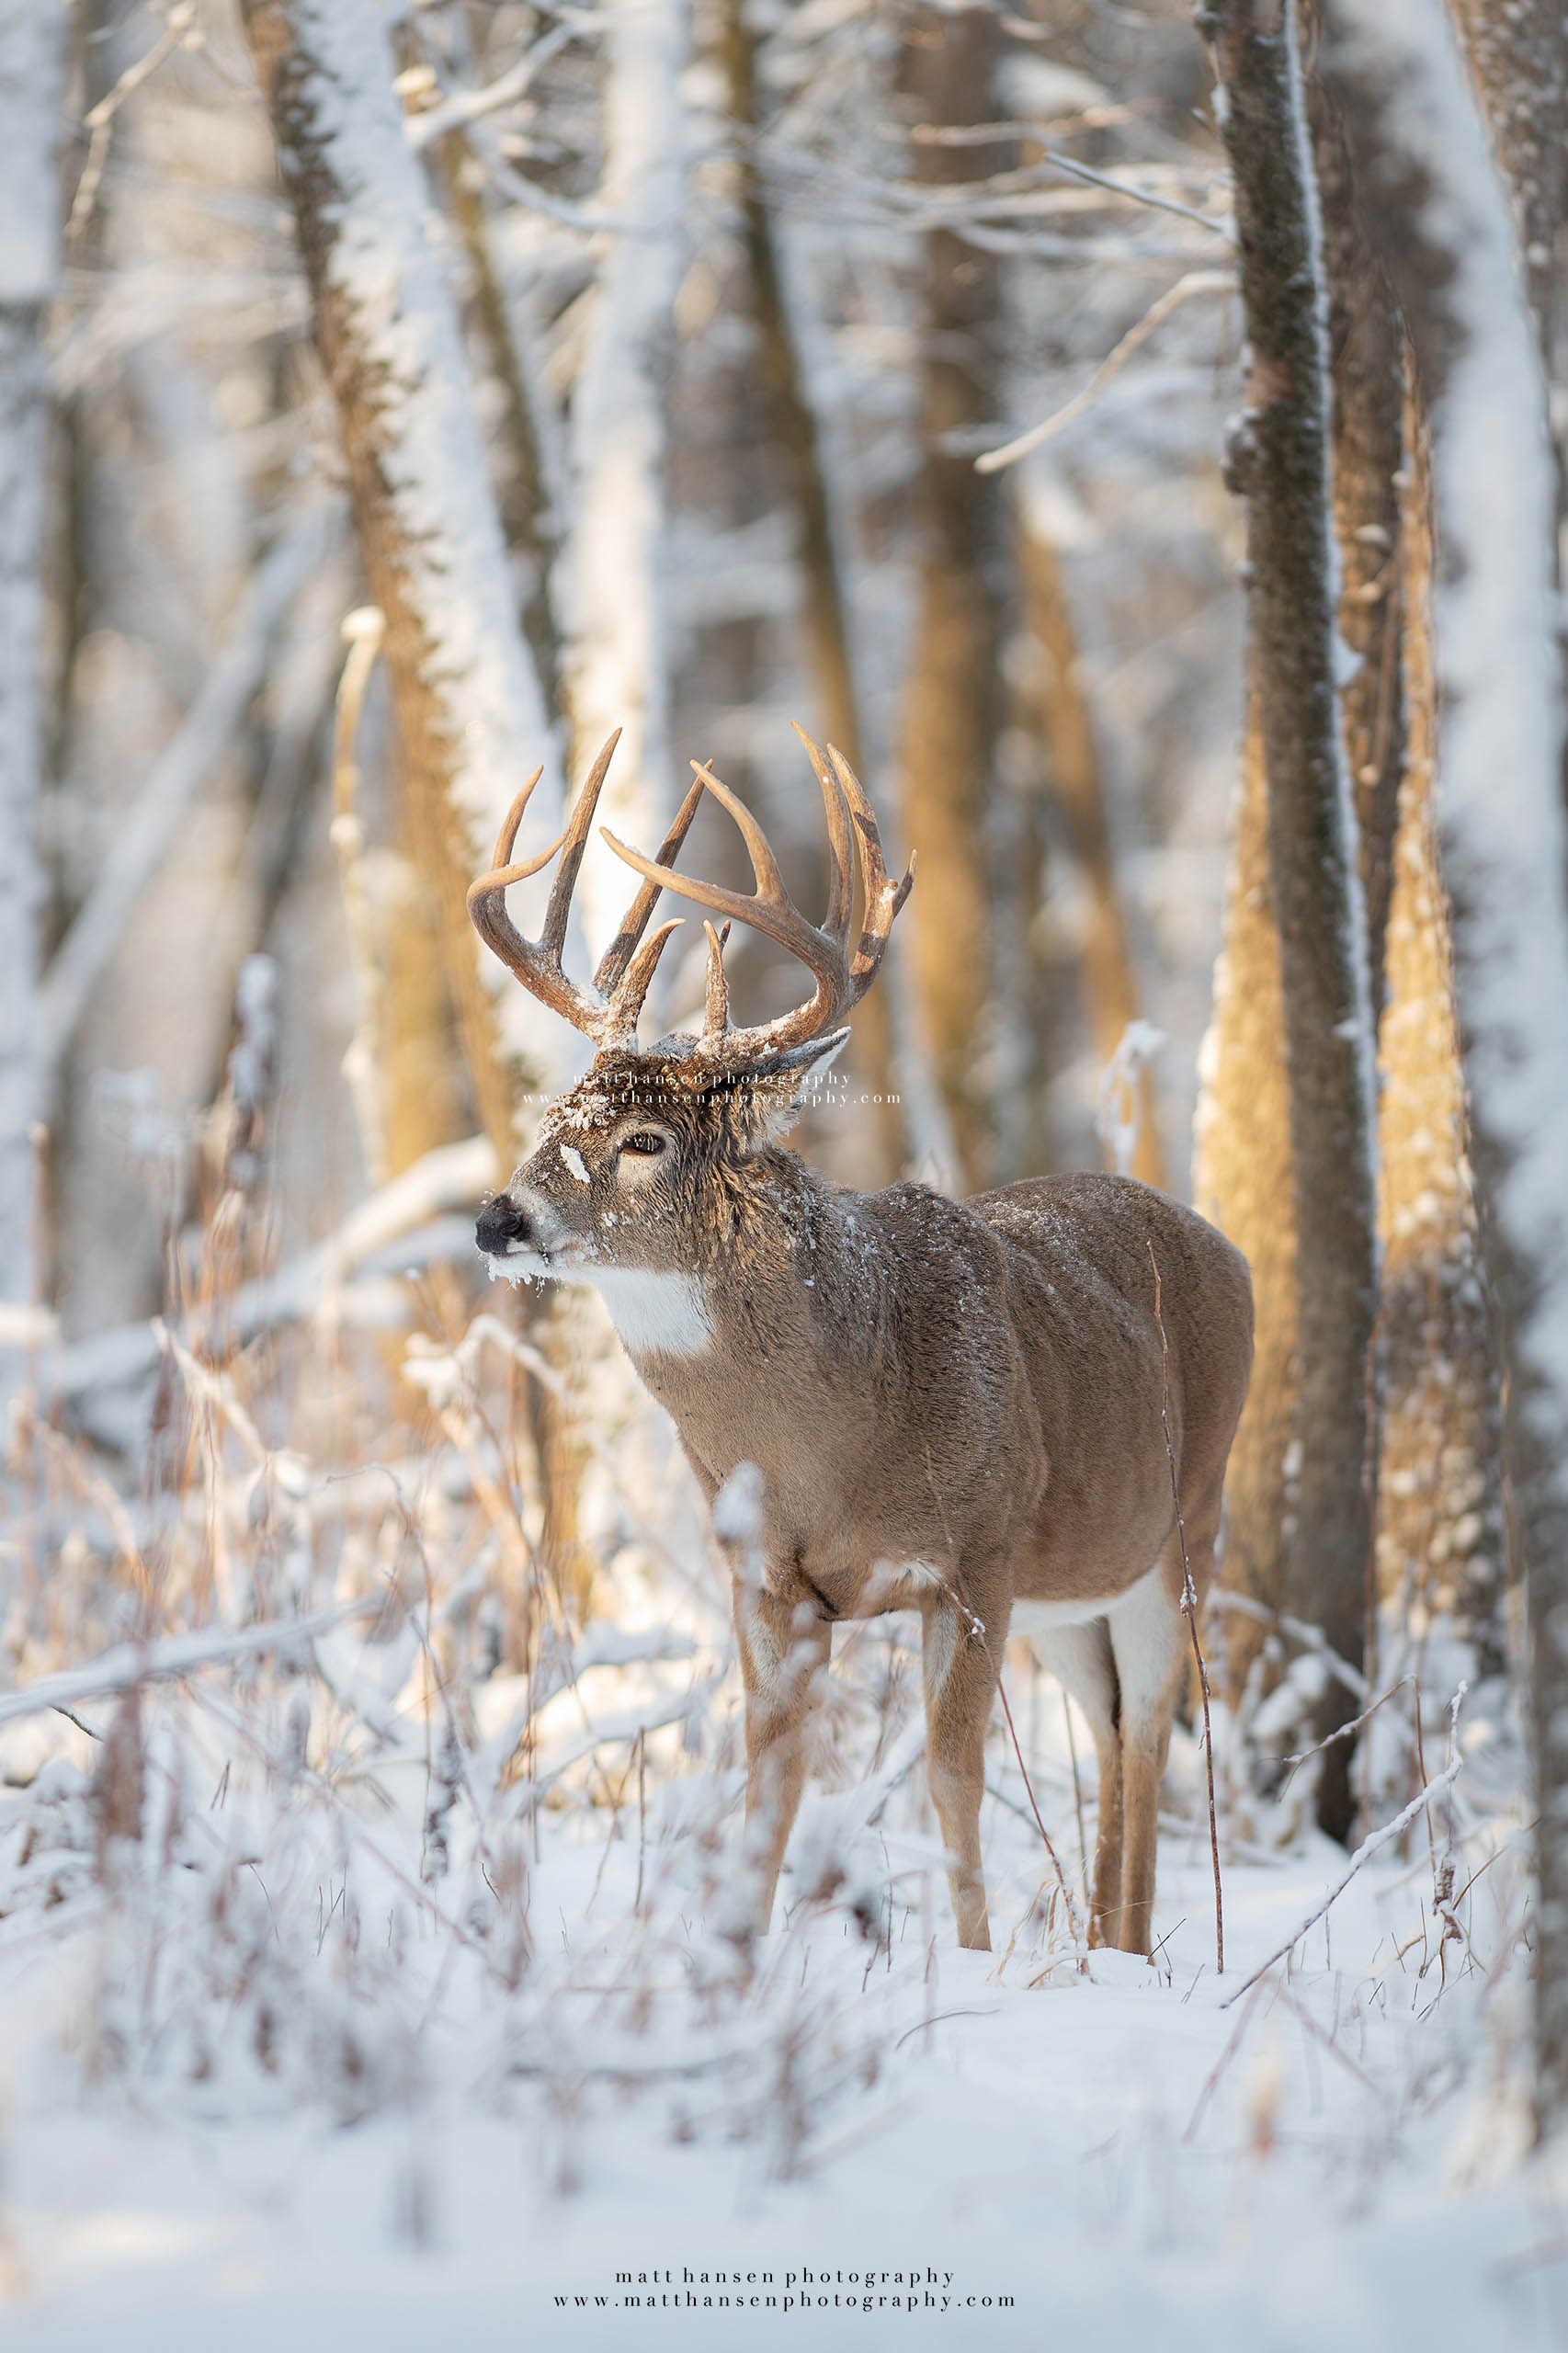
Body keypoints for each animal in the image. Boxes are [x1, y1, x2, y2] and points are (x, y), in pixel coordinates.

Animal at [468, 729, 1253, 1957]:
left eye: (644, 1139)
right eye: (554, 1118)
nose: (496, 1220)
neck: (834, 1435)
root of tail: (1227, 1248)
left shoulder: (976, 1552)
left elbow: (951, 1778)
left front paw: (970, 1958)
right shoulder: (766, 1577)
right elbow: (772, 1779)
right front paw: (732, 1956)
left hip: (1184, 1528)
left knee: (1152, 1726)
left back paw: (1121, 1949)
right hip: (1071, 1589)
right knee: (1115, 1722)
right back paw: (1095, 1944)